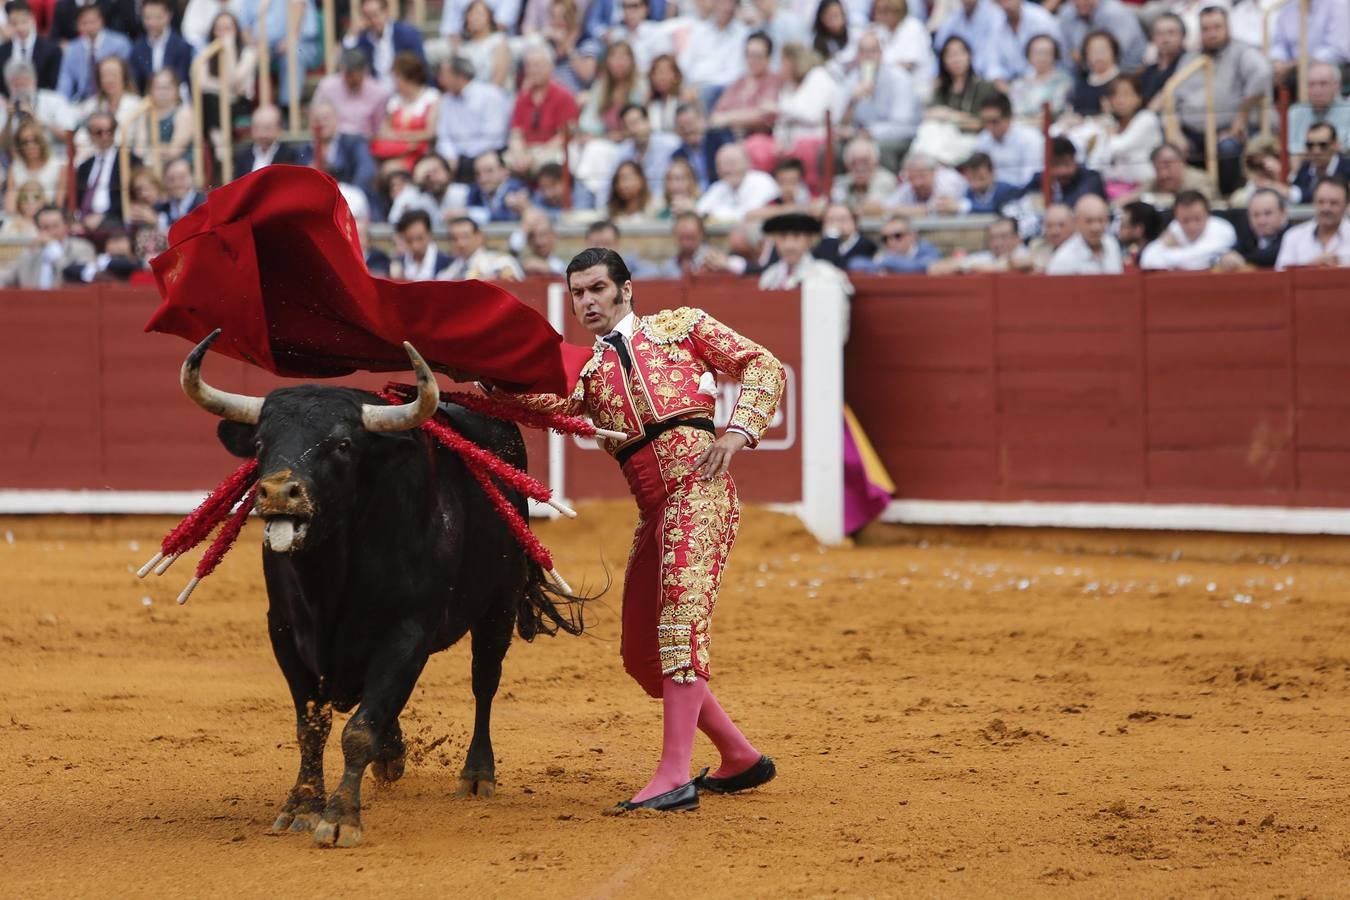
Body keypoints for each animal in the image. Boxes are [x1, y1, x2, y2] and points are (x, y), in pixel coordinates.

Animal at [179, 333, 580, 852]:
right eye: (262, 443)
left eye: (342, 444)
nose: (279, 492)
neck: (330, 576)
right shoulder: (285, 631)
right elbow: (312, 725)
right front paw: (301, 806)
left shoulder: (406, 632)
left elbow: (359, 730)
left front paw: (340, 818)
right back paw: (394, 756)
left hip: (497, 607)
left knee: (484, 683)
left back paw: (477, 775)